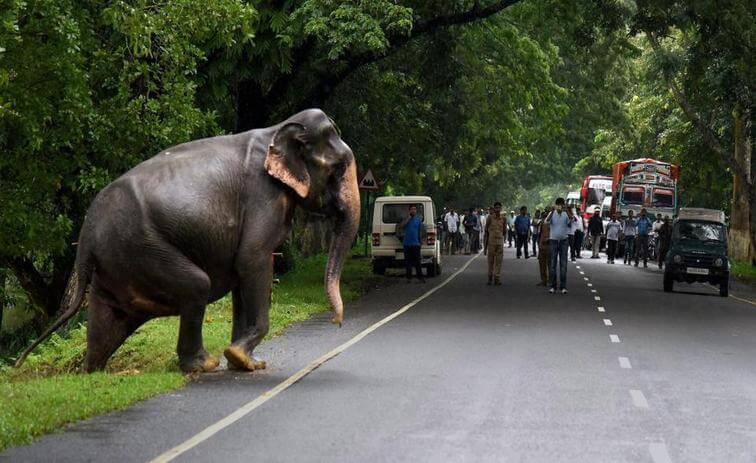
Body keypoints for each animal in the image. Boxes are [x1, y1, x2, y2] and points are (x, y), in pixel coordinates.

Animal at [16, 110, 360, 376]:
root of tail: (86, 233)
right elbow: (252, 259)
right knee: (196, 286)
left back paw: (91, 371)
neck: (277, 129)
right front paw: (240, 357)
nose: (336, 321)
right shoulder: (262, 197)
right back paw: (202, 365)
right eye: (338, 168)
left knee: (107, 320)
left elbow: (242, 274)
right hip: (141, 248)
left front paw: (245, 362)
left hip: (114, 264)